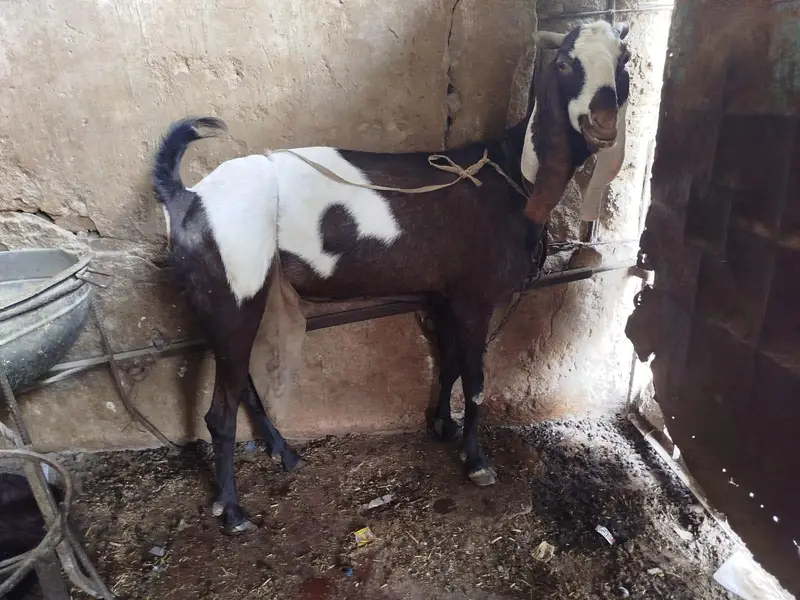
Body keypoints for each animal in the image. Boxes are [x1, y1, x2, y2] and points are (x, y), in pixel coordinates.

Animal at [152, 20, 632, 534]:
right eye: (564, 63)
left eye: (623, 61)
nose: (603, 122)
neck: (509, 177)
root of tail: (185, 197)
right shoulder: (475, 295)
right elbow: (476, 379)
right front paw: (476, 461)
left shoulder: (444, 294)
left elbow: (448, 363)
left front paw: (442, 426)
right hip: (232, 292)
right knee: (219, 413)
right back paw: (234, 510)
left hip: (233, 296)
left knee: (241, 379)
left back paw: (284, 454)